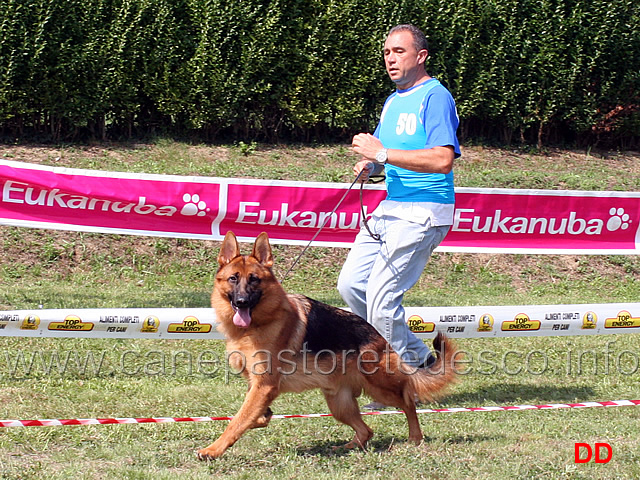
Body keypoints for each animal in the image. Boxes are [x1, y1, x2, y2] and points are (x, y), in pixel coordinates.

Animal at [198, 232, 458, 462]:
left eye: (254, 279)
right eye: (233, 279)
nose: (241, 302)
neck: (258, 324)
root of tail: (381, 338)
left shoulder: (264, 386)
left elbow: (237, 421)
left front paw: (213, 450)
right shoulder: (258, 386)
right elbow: (252, 414)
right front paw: (262, 418)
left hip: (379, 387)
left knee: (407, 402)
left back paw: (415, 437)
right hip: (339, 404)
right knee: (366, 430)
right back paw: (347, 447)